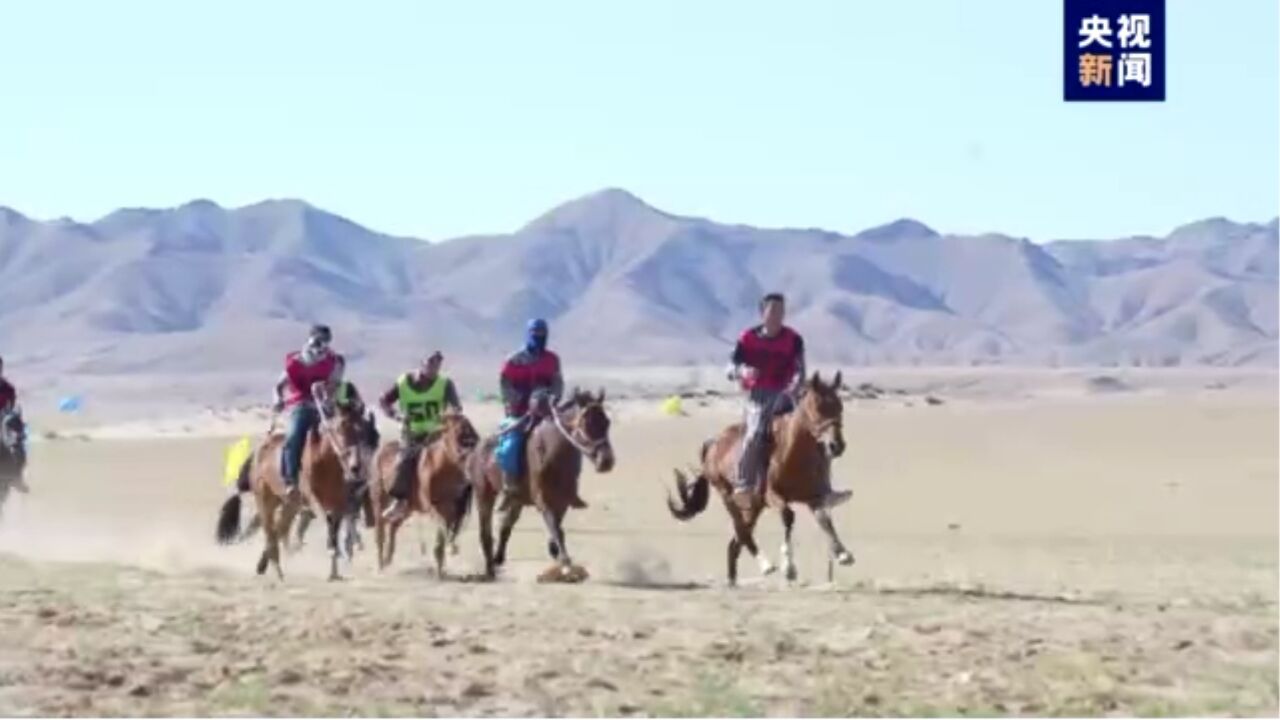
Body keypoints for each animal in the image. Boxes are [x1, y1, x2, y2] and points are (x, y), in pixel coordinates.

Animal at [215, 389, 371, 579]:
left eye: (362, 428)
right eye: (339, 427)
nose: (356, 467)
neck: (325, 460)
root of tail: (258, 452)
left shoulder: (339, 502)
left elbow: (336, 527)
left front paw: (335, 569)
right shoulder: (314, 499)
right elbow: (329, 524)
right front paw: (334, 562)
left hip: (289, 503)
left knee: (279, 529)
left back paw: (267, 565)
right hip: (266, 500)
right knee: (271, 533)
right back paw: (278, 572)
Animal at [368, 412, 481, 573]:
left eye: (472, 432)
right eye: (458, 433)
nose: (471, 452)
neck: (443, 469)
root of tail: (382, 451)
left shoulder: (453, 509)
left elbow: (448, 531)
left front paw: (445, 558)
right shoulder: (433, 507)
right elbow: (442, 529)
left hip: (408, 509)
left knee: (393, 525)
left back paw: (388, 559)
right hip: (378, 501)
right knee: (380, 532)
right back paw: (381, 566)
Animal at [465, 389, 614, 579]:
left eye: (607, 422)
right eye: (586, 422)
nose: (606, 461)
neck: (553, 452)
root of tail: (476, 448)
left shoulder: (562, 502)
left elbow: (557, 528)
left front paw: (555, 550)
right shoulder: (543, 501)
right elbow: (556, 529)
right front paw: (565, 564)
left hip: (517, 500)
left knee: (506, 524)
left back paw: (498, 558)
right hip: (484, 493)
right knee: (486, 532)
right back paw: (490, 567)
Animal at [665, 368, 855, 584]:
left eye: (839, 407)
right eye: (817, 407)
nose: (836, 445)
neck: (793, 454)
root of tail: (713, 443)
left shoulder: (813, 496)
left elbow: (823, 518)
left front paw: (842, 553)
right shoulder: (772, 495)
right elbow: (788, 515)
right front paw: (788, 567)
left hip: (753, 506)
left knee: (735, 542)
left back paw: (733, 581)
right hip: (728, 495)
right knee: (742, 531)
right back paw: (765, 564)